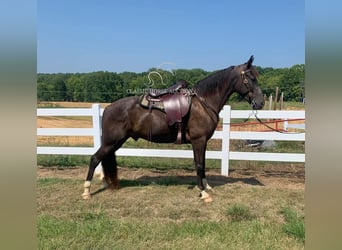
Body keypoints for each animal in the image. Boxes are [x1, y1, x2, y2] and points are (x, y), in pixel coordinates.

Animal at [82, 55, 264, 202]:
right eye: (251, 78)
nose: (260, 103)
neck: (203, 102)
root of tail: (108, 108)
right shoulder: (198, 141)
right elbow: (199, 165)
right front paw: (204, 193)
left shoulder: (201, 142)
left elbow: (202, 164)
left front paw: (206, 187)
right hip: (111, 142)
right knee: (94, 159)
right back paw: (86, 191)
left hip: (116, 142)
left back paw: (105, 184)